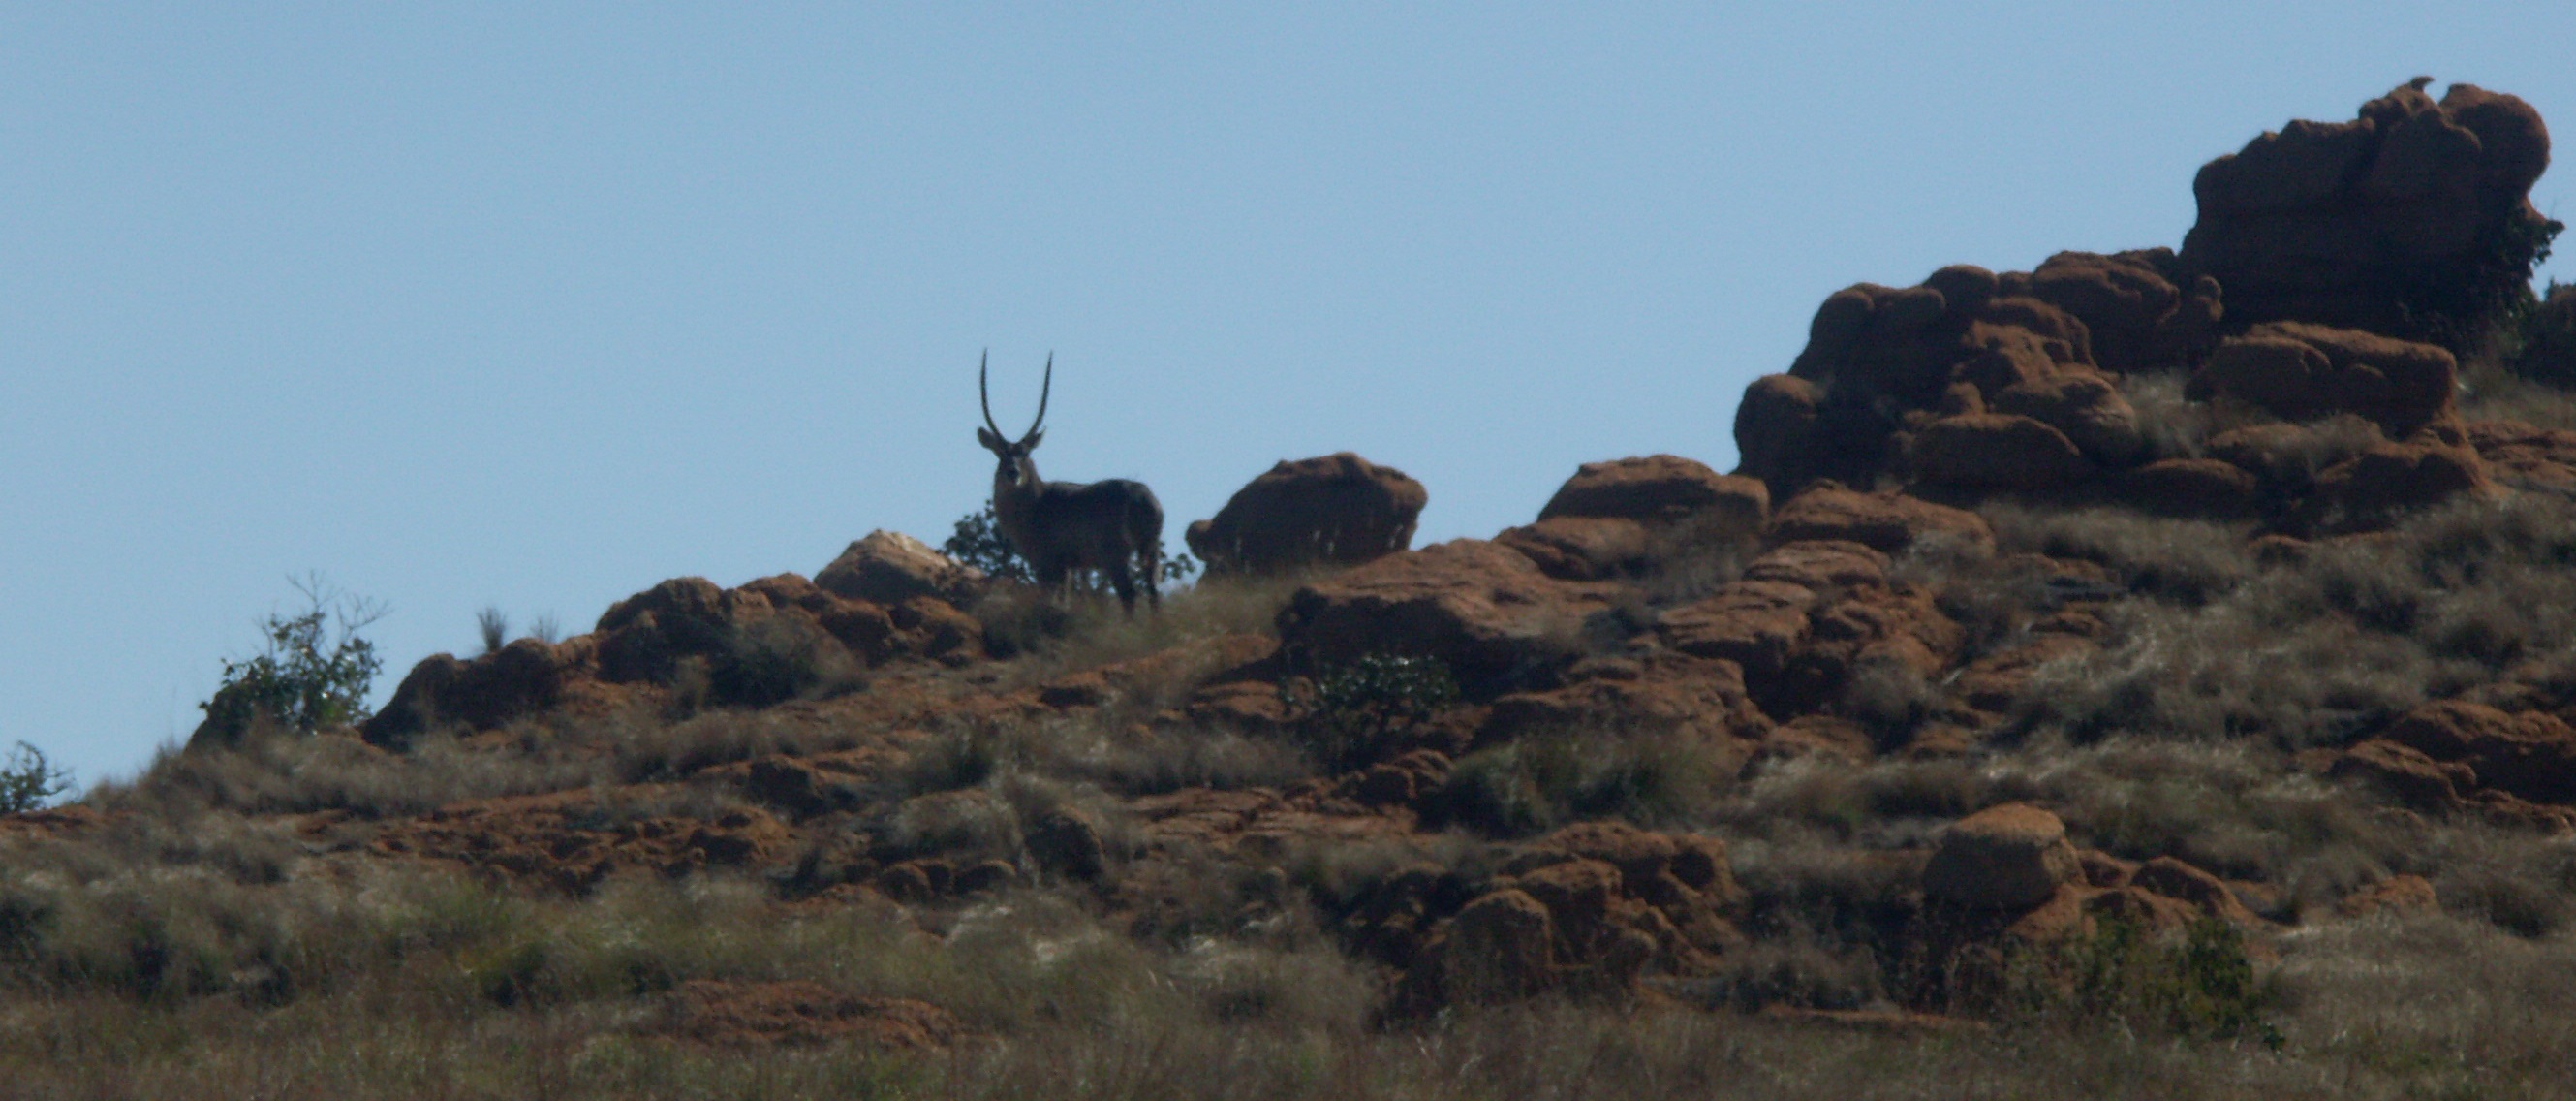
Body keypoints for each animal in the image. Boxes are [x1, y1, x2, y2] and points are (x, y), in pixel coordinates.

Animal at [974, 350, 1169, 615]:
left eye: (1025, 453)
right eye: (1000, 454)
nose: (1013, 473)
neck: (1036, 503)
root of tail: (1143, 497)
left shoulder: (1047, 563)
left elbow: (1050, 599)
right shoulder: (1068, 567)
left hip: (1115, 556)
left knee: (1129, 595)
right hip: (1149, 549)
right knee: (1153, 592)